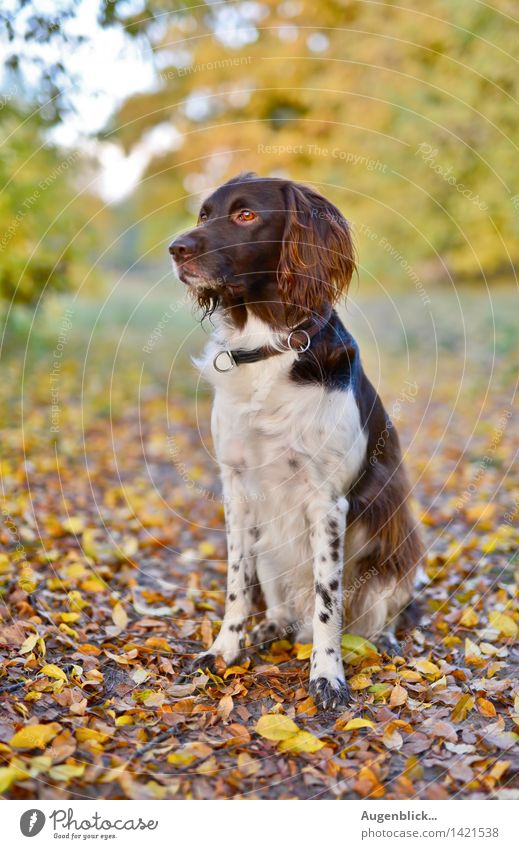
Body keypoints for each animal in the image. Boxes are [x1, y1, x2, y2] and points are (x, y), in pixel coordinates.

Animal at [169, 172, 424, 708]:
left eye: (246, 215)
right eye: (204, 214)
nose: (176, 248)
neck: (267, 349)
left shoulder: (327, 500)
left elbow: (329, 601)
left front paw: (326, 676)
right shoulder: (238, 490)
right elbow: (236, 584)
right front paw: (224, 650)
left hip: (395, 536)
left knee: (383, 609)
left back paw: (384, 639)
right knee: (281, 606)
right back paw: (270, 629)